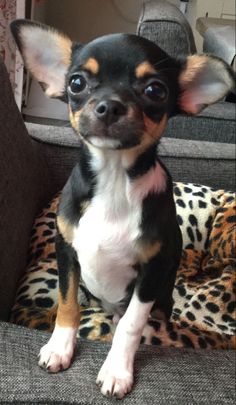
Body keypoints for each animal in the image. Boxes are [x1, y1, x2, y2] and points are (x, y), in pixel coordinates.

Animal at [10, 19, 234, 398]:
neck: (114, 180)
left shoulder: (150, 273)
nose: (109, 106)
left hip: (161, 301)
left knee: (137, 317)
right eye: (76, 83)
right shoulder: (66, 251)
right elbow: (67, 304)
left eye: (155, 90)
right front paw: (59, 348)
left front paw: (117, 370)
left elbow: (131, 324)